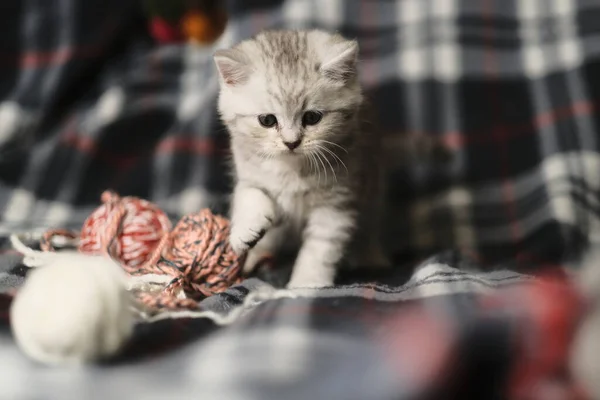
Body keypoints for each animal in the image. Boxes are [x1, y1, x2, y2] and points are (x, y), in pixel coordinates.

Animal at [213, 30, 386, 288]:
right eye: (267, 120)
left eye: (312, 117)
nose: (291, 142)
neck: (291, 169)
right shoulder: (247, 168)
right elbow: (248, 192)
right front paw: (246, 229)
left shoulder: (337, 203)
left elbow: (320, 249)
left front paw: (306, 284)